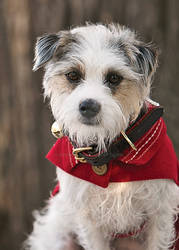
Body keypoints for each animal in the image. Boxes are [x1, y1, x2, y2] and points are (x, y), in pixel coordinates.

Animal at [24, 23, 179, 250]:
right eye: (73, 75)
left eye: (114, 78)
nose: (89, 106)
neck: (108, 153)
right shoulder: (89, 221)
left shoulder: (159, 214)